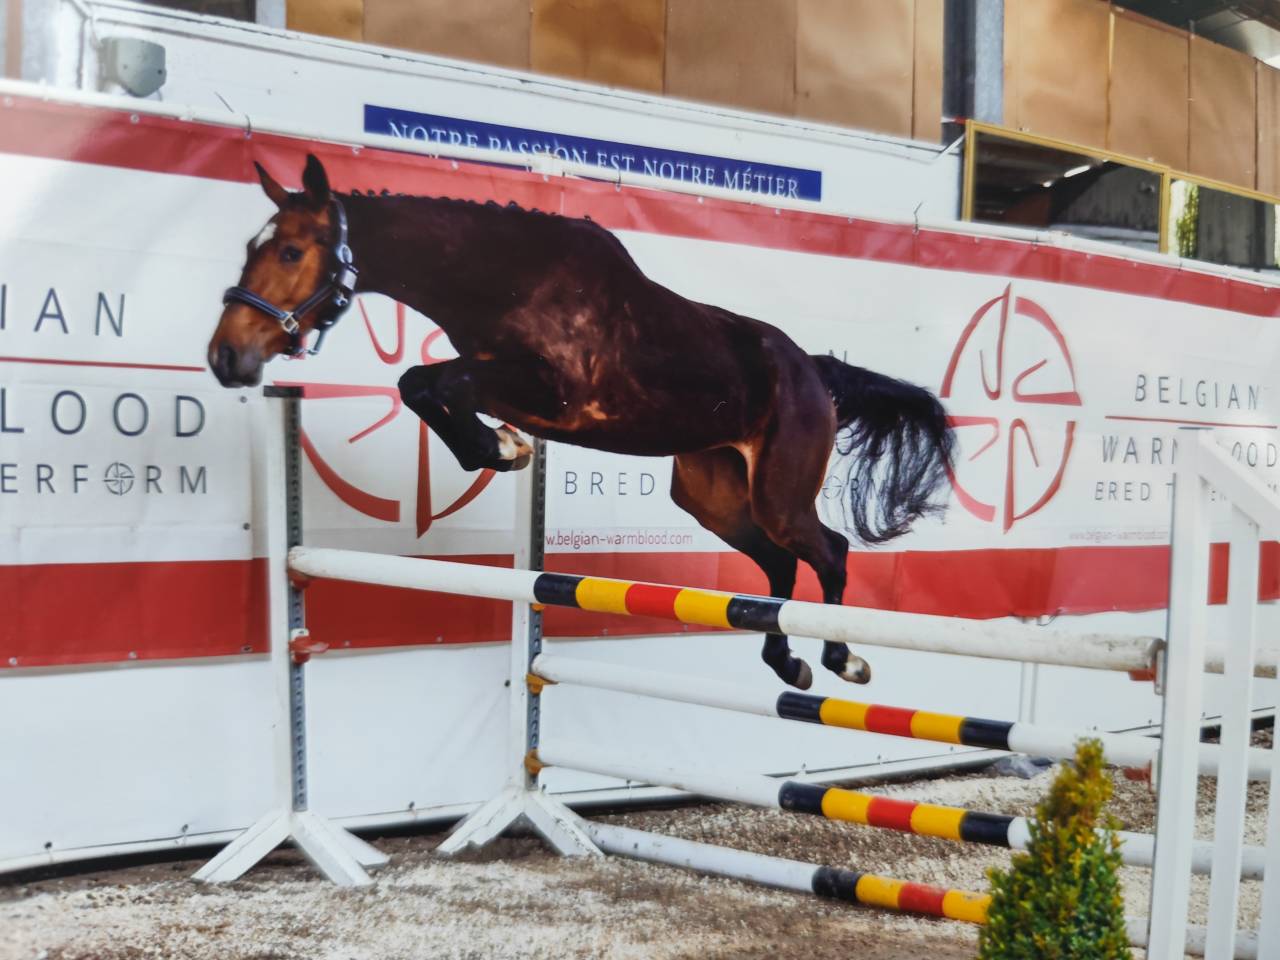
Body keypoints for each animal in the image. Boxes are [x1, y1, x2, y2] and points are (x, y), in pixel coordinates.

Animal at [207, 154, 956, 691]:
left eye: (290, 253)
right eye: (250, 248)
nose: (225, 357)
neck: (503, 279)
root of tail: (814, 373)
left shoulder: (555, 393)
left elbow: (439, 381)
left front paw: (498, 447)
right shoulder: (508, 381)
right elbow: (419, 382)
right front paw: (497, 448)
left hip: (778, 494)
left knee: (828, 551)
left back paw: (840, 658)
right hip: (712, 495)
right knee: (778, 563)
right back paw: (787, 662)